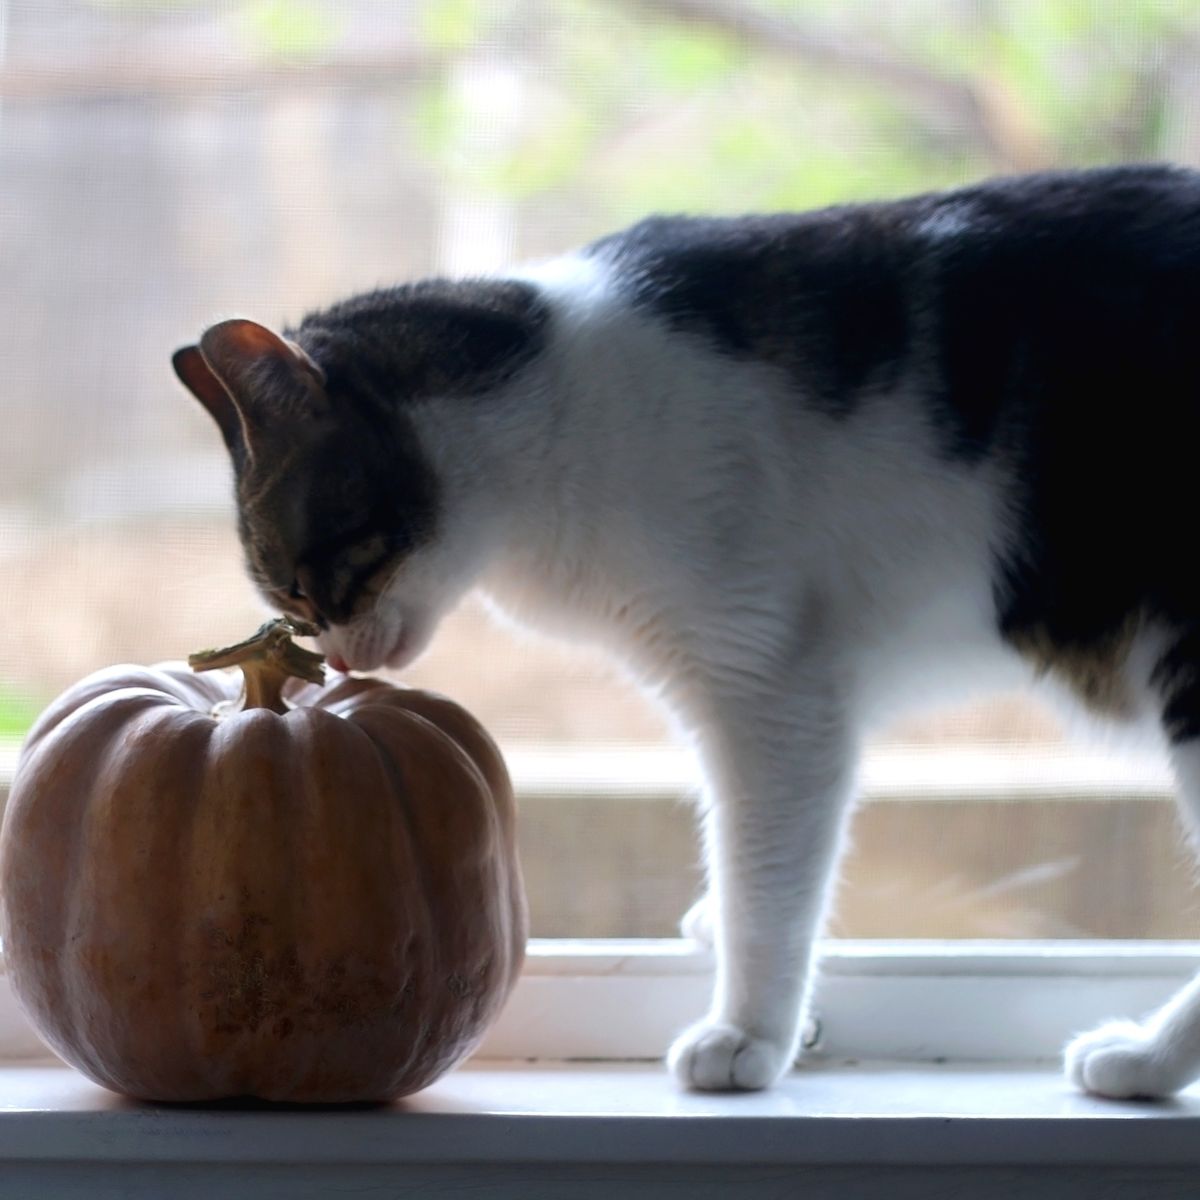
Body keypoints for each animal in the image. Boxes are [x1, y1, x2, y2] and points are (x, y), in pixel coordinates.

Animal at [175, 164, 1200, 1099]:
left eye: (304, 586)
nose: (338, 660)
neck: (554, 412)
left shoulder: (771, 689)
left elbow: (765, 878)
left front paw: (748, 1034)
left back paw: (1143, 1063)